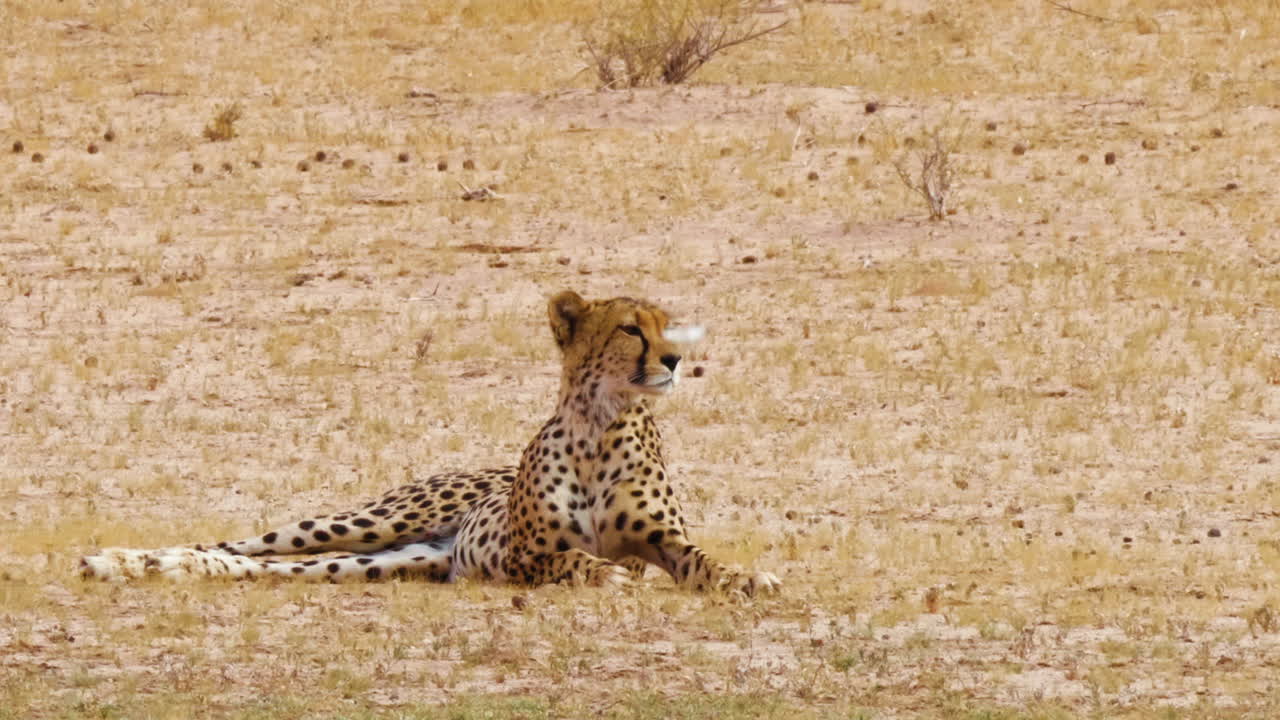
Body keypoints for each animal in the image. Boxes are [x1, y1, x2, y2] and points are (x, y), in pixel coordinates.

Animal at [80, 290, 780, 597]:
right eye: (632, 329)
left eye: (668, 327)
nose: (675, 360)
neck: (601, 423)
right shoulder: (523, 555)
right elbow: (570, 560)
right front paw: (598, 572)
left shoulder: (662, 542)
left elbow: (703, 560)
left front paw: (748, 577)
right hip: (361, 523)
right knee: (237, 545)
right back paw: (124, 560)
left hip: (391, 559)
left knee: (262, 566)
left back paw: (163, 569)